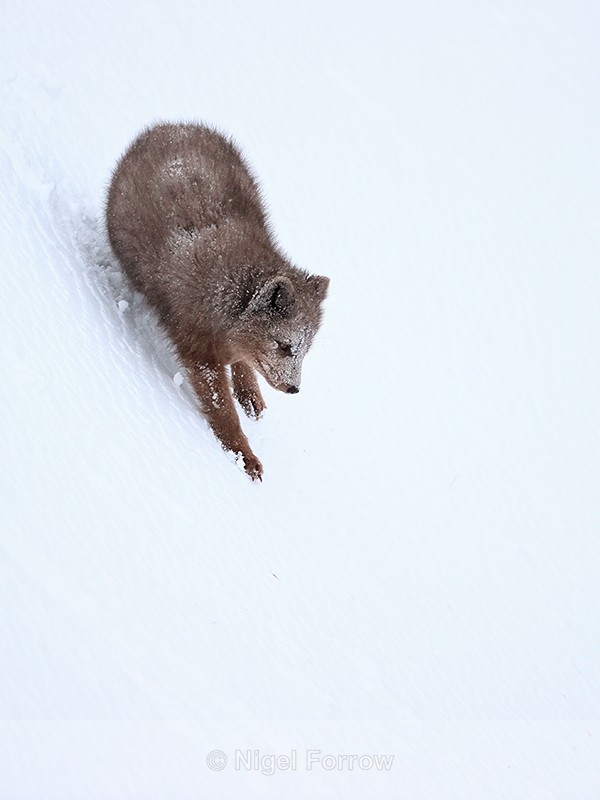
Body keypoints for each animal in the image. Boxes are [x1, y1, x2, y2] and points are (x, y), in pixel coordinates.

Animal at [106, 122, 329, 480]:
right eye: (284, 345)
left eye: (306, 349)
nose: (294, 388)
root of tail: (171, 125)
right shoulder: (196, 349)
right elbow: (222, 410)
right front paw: (244, 458)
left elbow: (241, 368)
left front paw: (249, 395)